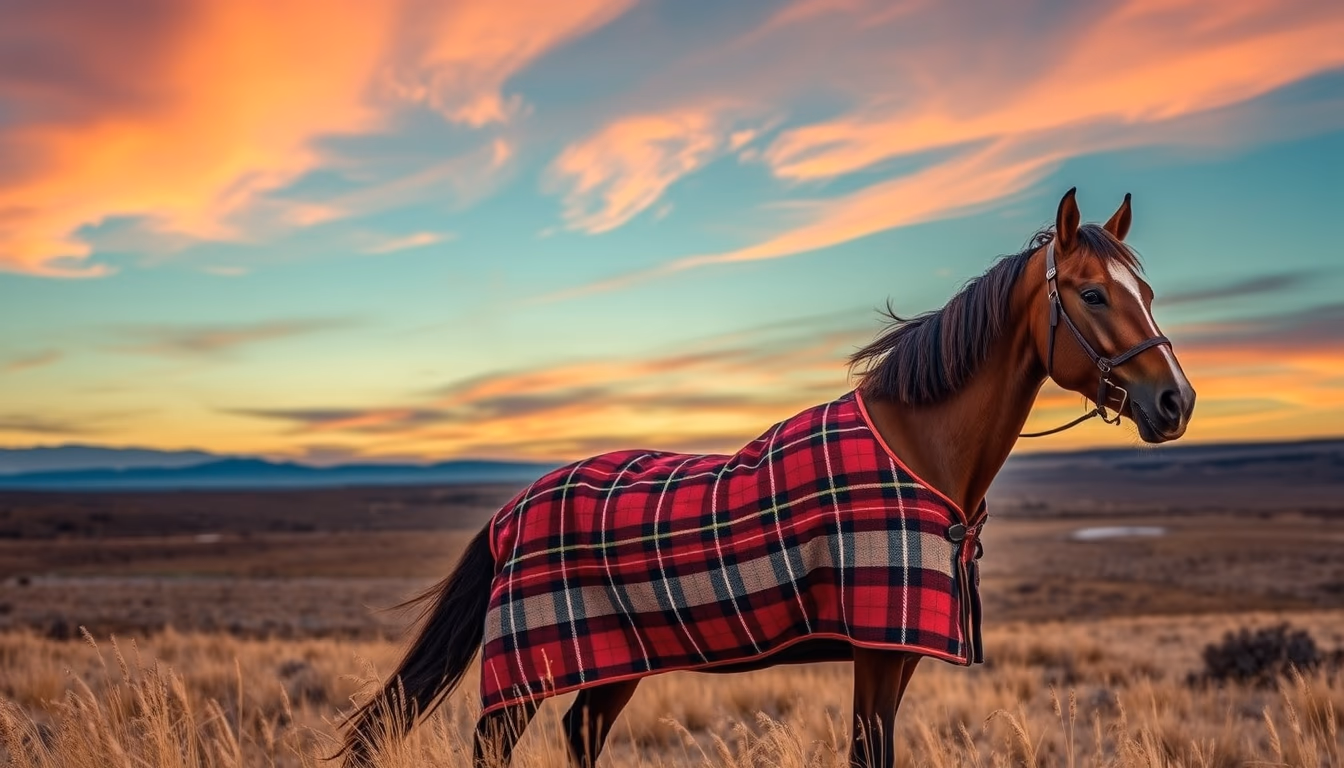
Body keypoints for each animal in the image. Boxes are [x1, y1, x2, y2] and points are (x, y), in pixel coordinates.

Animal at [339, 188, 1196, 768]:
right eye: (1093, 293)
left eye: (1148, 292)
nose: (1175, 401)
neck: (920, 453)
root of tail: (510, 511)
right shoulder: (876, 650)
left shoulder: (897, 657)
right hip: (526, 671)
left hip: (610, 665)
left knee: (581, 733)